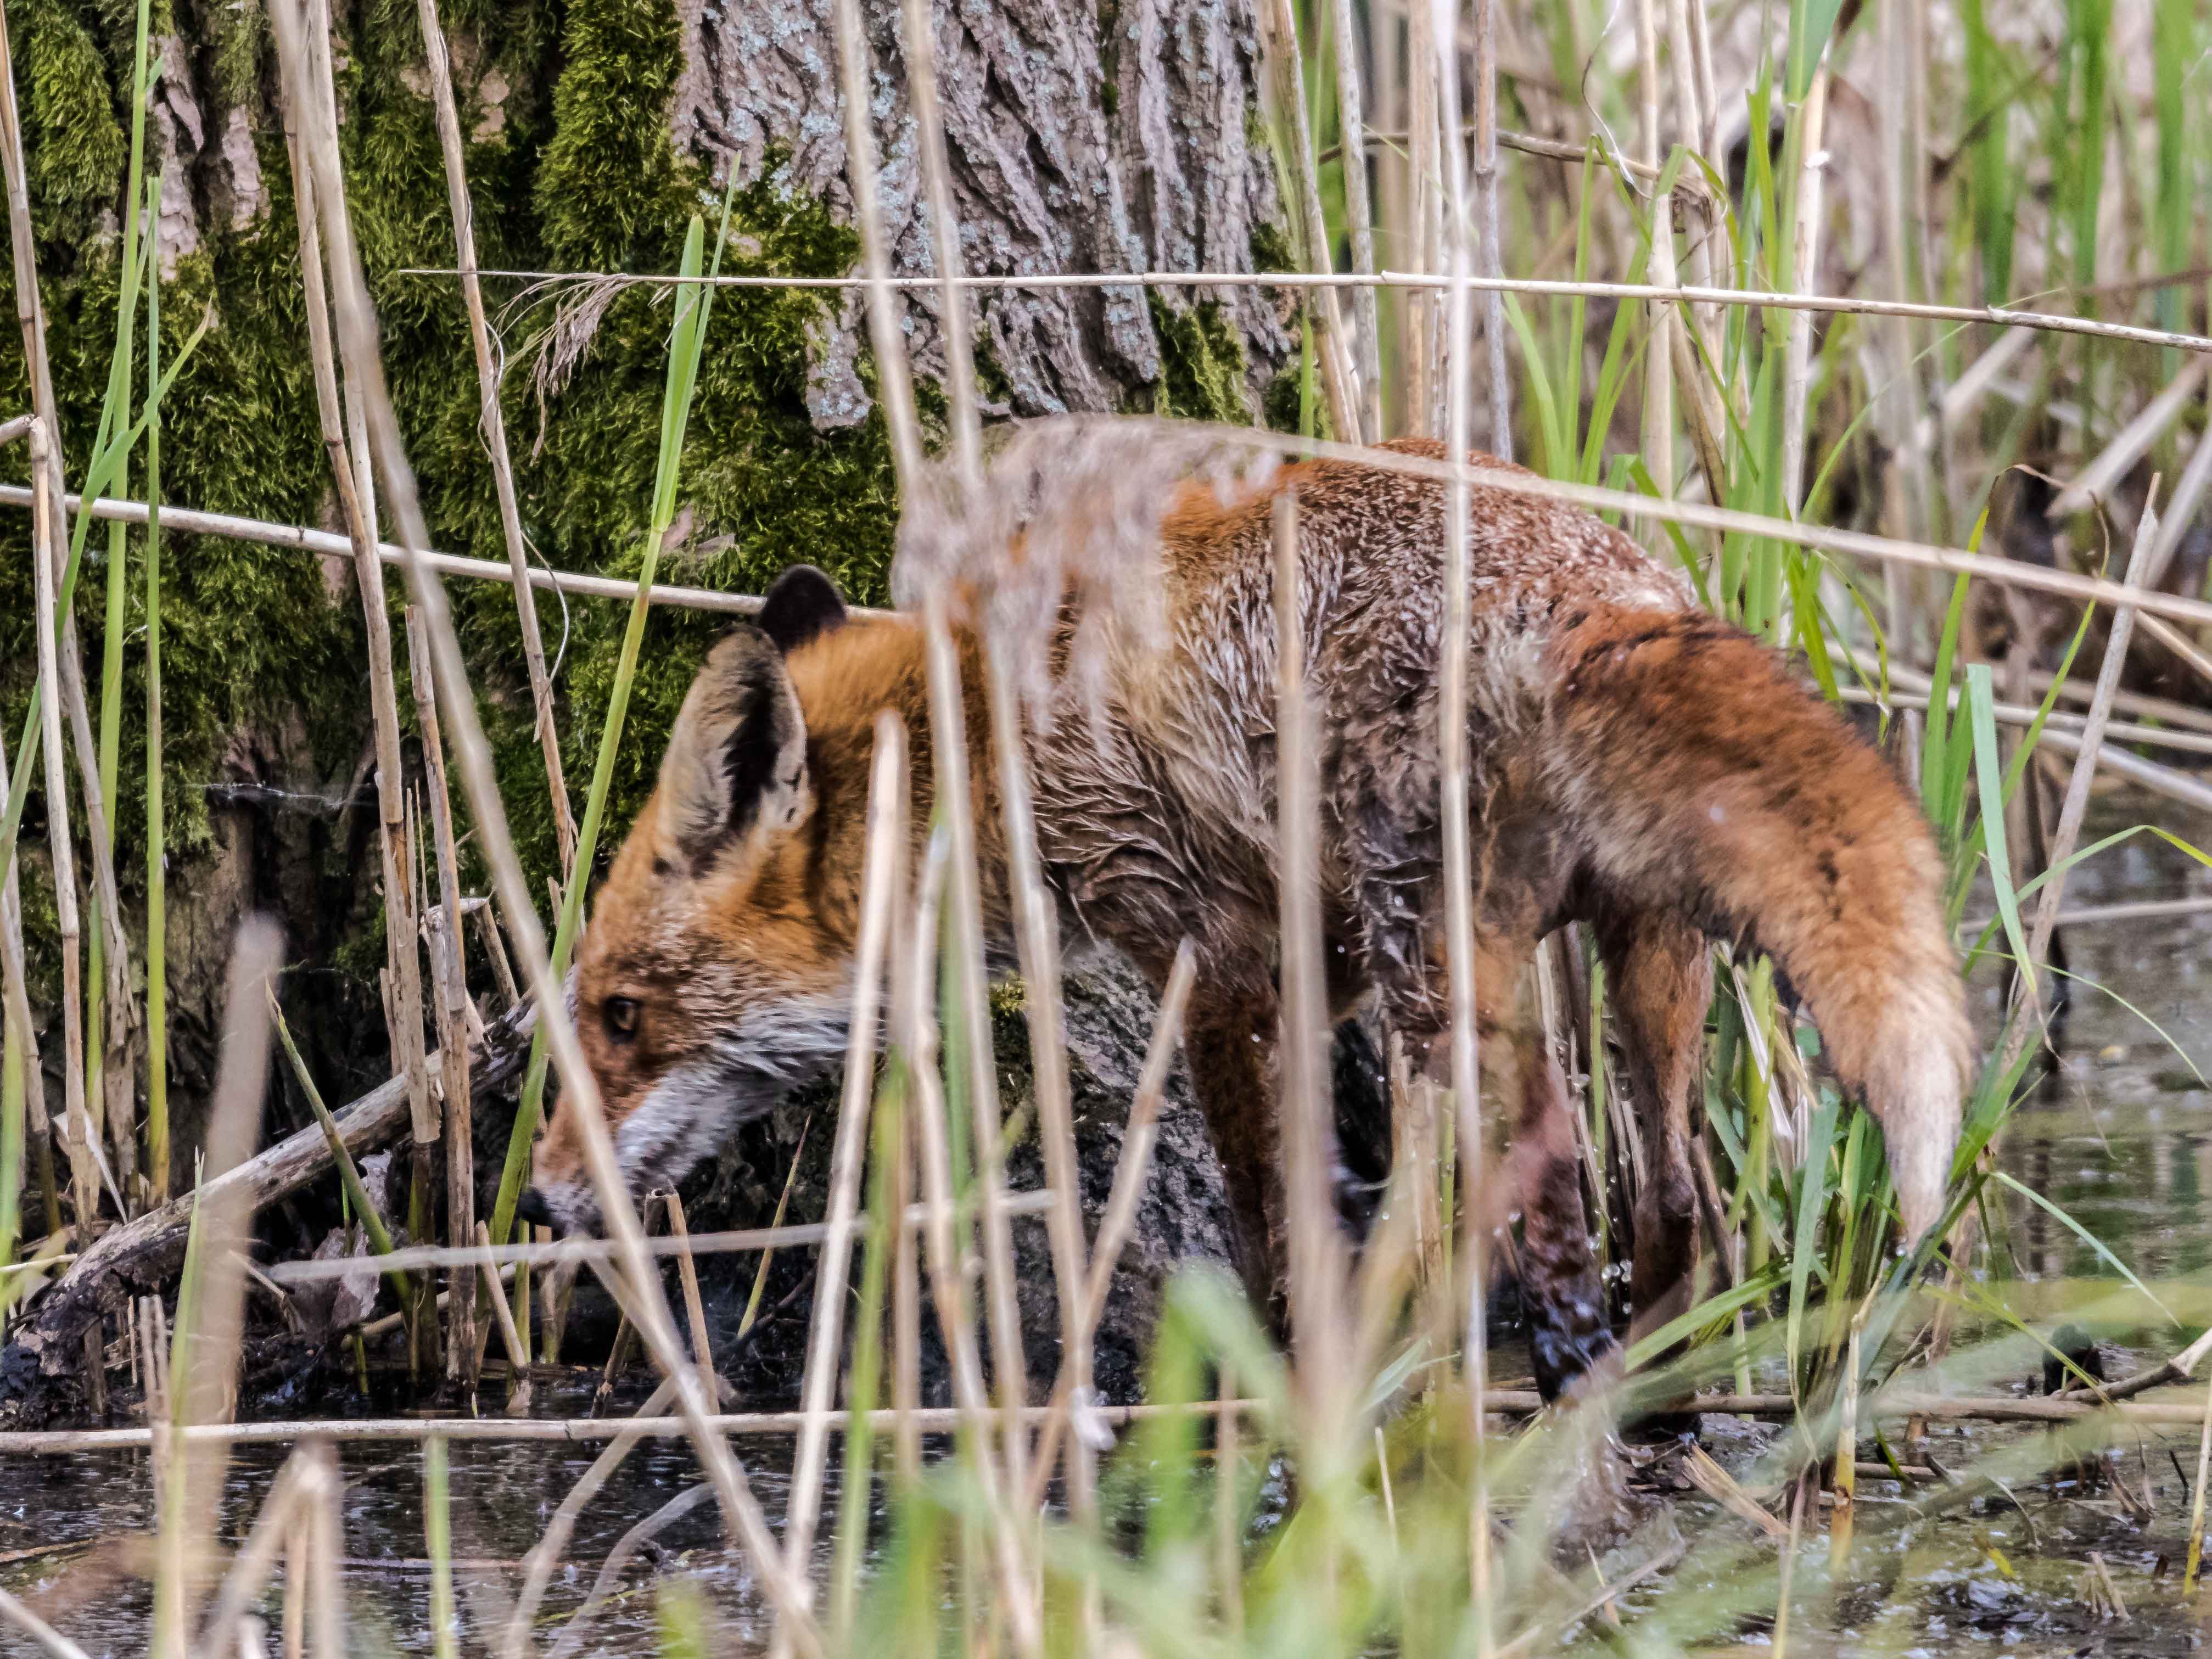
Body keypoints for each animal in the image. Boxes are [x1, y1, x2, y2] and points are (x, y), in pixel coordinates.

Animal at [516, 436, 1974, 1400]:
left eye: (620, 1013)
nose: (534, 1198)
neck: (1003, 733)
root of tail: (1611, 591)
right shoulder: (1310, 966)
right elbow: (1318, 1199)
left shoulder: (1207, 954)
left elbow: (1272, 1230)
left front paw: (1286, 1399)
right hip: (1641, 959)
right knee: (1674, 1208)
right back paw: (1645, 1405)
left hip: (1442, 972)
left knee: (1559, 1200)